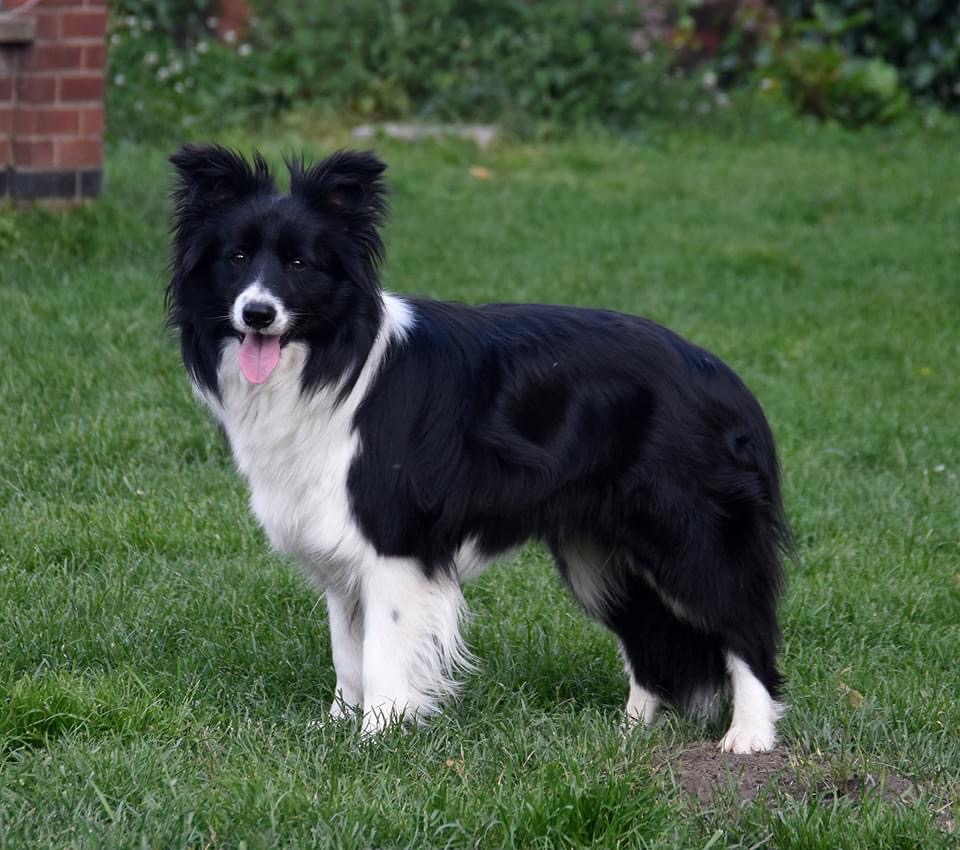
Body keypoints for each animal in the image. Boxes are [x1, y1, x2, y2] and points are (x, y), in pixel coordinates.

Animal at [169, 144, 792, 748]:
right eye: (236, 258)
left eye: (299, 264)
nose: (257, 314)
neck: (331, 358)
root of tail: (728, 382)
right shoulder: (340, 545)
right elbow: (347, 651)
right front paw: (337, 724)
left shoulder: (394, 543)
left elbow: (382, 652)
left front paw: (375, 736)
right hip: (600, 553)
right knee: (648, 634)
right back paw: (630, 731)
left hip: (691, 533)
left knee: (744, 625)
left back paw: (749, 736)